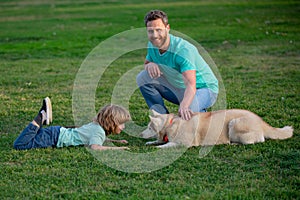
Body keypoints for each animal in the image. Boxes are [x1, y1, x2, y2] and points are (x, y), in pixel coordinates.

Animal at [142, 108, 292, 148]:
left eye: (149, 127)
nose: (141, 134)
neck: (171, 123)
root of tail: (261, 121)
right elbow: (158, 141)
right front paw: (150, 142)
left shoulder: (184, 143)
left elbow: (168, 144)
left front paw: (158, 147)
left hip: (234, 124)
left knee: (256, 140)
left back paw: (234, 144)